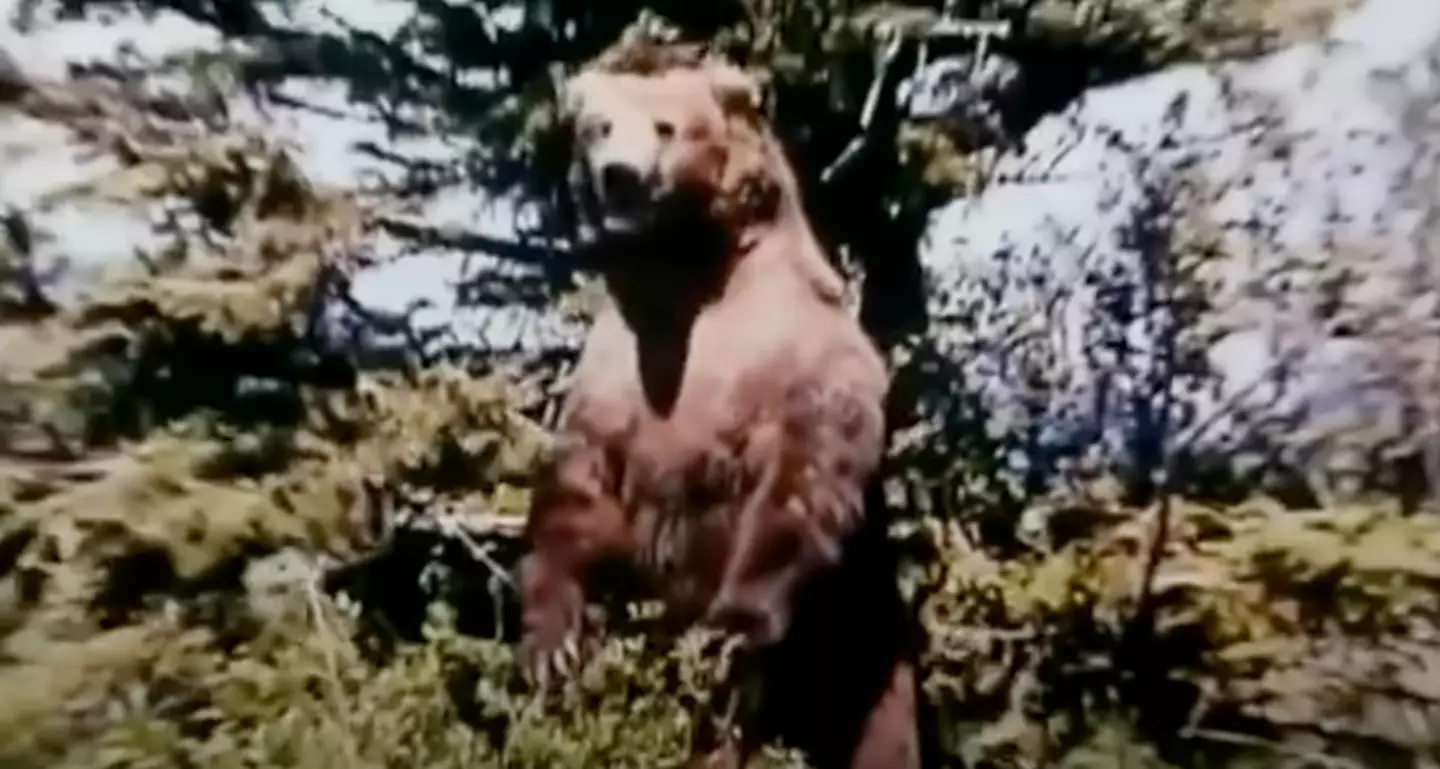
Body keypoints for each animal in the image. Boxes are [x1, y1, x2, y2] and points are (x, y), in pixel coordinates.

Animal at [518, 40, 922, 769]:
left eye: (666, 127)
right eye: (599, 127)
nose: (619, 177)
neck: (689, 272)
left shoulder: (800, 358)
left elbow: (802, 481)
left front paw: (729, 629)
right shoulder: (615, 372)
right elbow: (577, 486)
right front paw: (550, 642)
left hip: (864, 650)